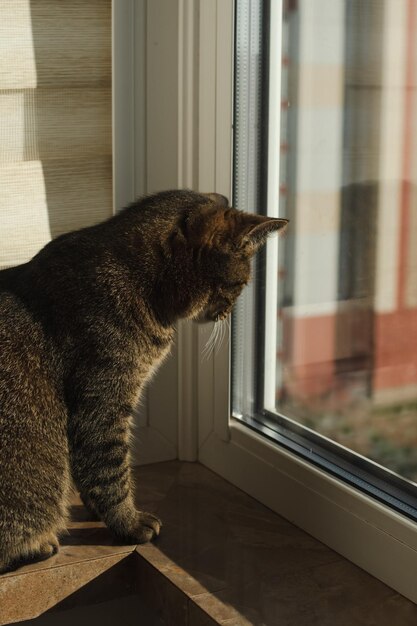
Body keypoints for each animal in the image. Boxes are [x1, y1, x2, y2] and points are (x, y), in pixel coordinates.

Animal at [0, 190, 286, 572]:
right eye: (240, 285)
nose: (227, 314)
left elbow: (94, 473)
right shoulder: (102, 405)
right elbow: (110, 472)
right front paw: (128, 523)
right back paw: (38, 545)